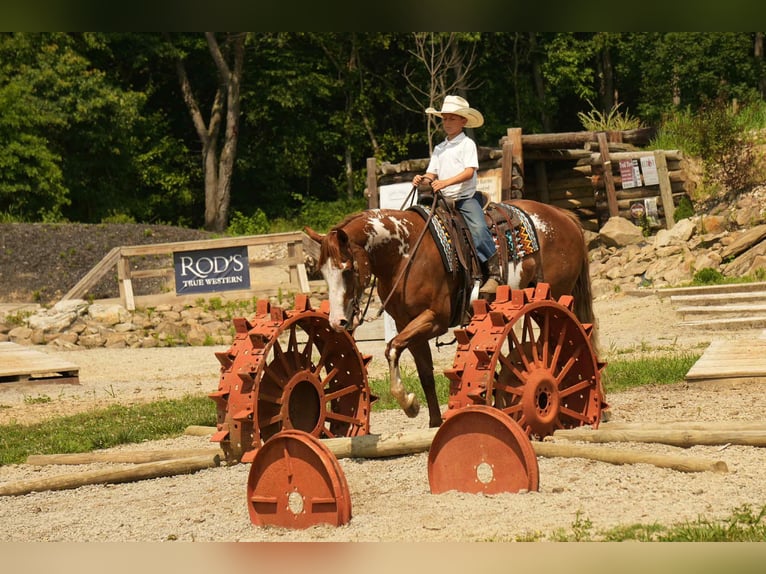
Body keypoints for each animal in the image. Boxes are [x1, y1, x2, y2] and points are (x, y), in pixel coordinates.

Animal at [304, 198, 595, 428]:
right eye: (323, 273)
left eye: (347, 269)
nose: (338, 321)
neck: (406, 254)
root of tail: (563, 216)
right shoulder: (409, 324)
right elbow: (424, 373)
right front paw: (433, 420)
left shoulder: (435, 320)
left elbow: (392, 347)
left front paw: (408, 403)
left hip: (556, 295)